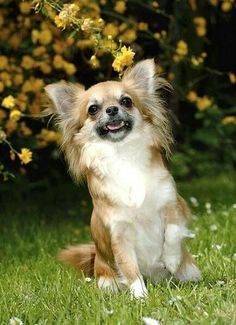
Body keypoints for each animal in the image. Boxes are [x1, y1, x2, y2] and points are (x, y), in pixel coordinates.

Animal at [44, 58, 201, 298]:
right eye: (93, 109)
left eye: (126, 101)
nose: (112, 109)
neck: (123, 154)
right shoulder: (119, 234)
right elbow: (129, 267)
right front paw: (140, 297)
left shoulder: (173, 204)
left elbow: (174, 232)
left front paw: (172, 259)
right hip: (105, 277)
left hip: (190, 271)